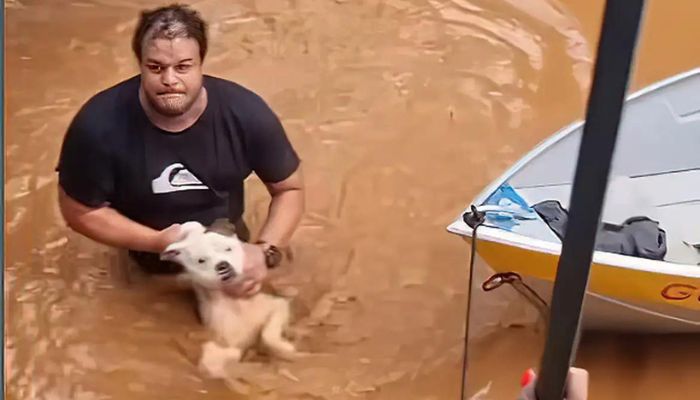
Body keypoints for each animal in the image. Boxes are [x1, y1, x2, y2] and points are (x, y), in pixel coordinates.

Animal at [160, 222, 300, 378]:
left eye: (228, 248)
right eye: (201, 260)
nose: (222, 265)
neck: (235, 303)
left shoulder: (277, 306)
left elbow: (268, 334)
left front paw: (285, 349)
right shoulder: (225, 342)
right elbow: (222, 357)